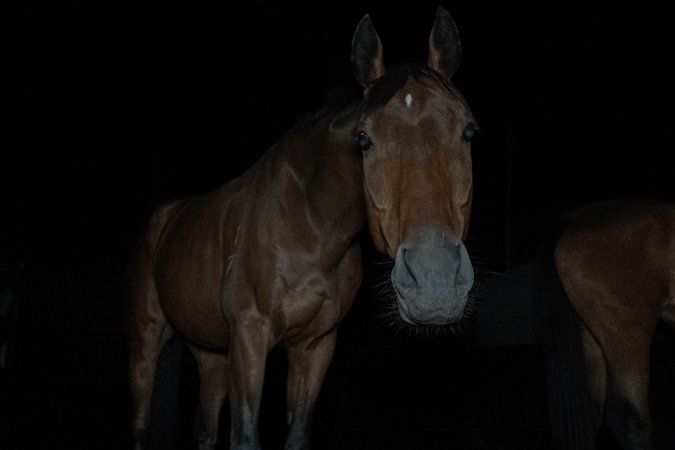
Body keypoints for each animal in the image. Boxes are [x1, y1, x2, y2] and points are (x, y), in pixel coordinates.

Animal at [125, 7, 476, 450]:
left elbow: (296, 434)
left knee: (203, 430)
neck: (310, 226)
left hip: (210, 352)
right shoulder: (249, 335)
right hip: (146, 343)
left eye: (469, 130)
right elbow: (244, 436)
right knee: (140, 424)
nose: (435, 282)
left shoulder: (314, 346)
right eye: (364, 139)